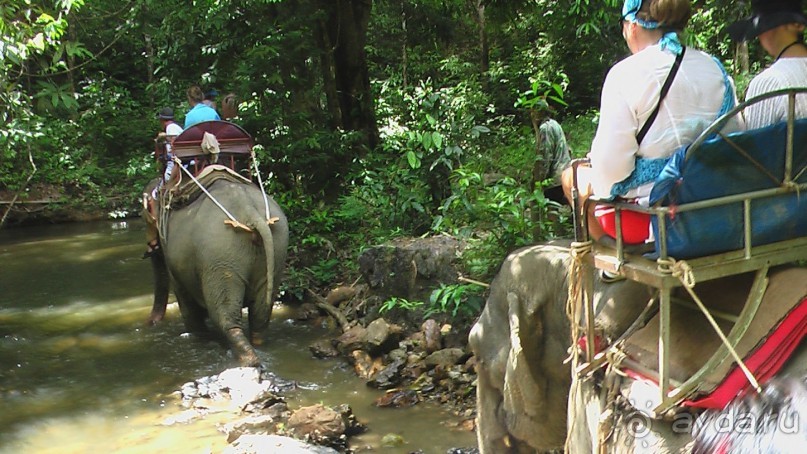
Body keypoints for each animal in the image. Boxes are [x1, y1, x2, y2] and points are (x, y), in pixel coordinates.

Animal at [144, 168, 288, 368]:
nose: (149, 324)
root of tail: (249, 211)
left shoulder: (172, 255)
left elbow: (187, 303)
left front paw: (199, 336)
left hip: (220, 254)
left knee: (224, 314)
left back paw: (248, 359)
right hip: (277, 246)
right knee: (260, 312)